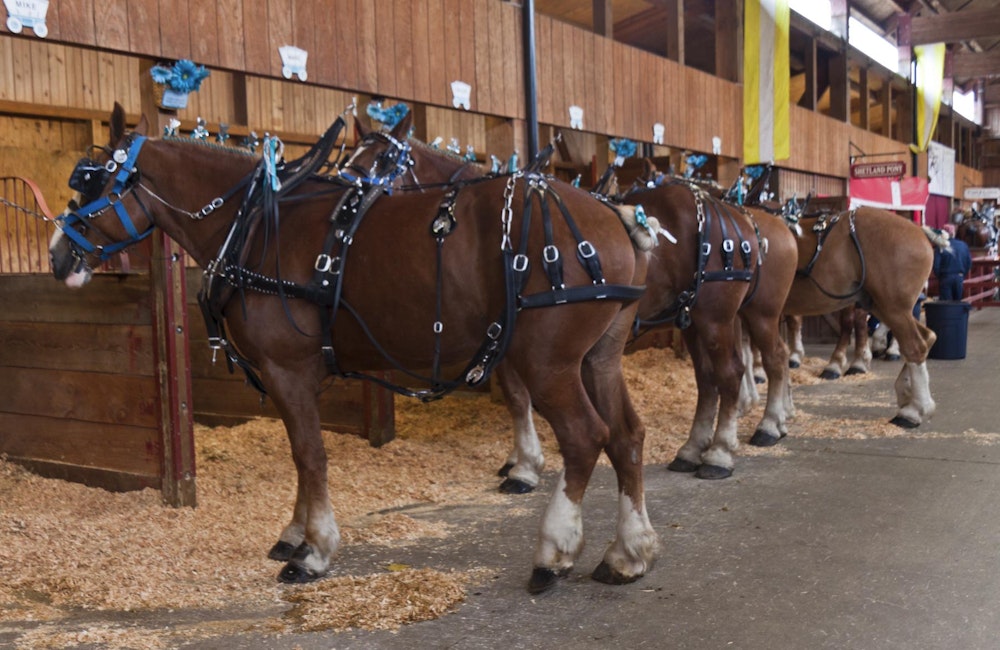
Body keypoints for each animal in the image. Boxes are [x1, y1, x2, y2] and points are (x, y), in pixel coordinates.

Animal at [49, 104, 661, 594]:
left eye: (92, 184)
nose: (56, 256)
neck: (254, 226)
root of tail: (615, 216)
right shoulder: (303, 375)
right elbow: (302, 456)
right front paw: (294, 533)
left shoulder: (287, 369)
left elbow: (310, 455)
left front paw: (314, 550)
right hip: (597, 358)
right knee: (627, 436)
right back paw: (628, 553)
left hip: (548, 361)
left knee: (585, 437)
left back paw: (553, 553)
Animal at [348, 121, 799, 481]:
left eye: (382, 161)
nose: (348, 199)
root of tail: (742, 220)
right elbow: (517, 398)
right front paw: (520, 461)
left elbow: (521, 398)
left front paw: (525, 467)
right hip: (697, 317)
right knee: (711, 379)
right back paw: (696, 447)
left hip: (730, 315)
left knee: (748, 367)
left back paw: (734, 444)